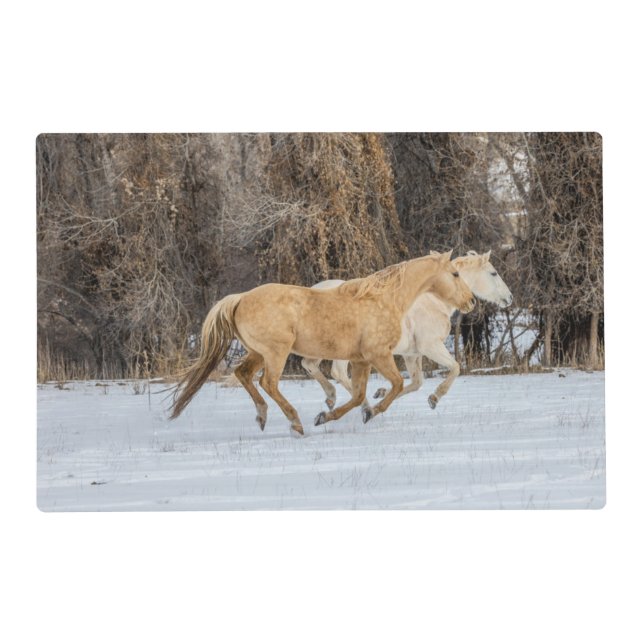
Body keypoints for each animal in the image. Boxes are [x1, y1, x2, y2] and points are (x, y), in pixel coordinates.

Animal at [170, 251, 475, 435]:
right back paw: (295, 423)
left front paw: (329, 416)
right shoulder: (378, 355)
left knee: (243, 374)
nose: (471, 301)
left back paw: (262, 417)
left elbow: (359, 395)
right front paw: (370, 413)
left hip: (257, 352)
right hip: (276, 353)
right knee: (268, 383)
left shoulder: (361, 360)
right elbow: (396, 385)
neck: (384, 300)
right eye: (455, 274)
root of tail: (240, 298)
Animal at [301, 251, 512, 413]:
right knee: (337, 372)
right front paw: (434, 398)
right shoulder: (430, 346)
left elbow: (415, 383)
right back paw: (361, 405)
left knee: (310, 365)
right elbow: (455, 368)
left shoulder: (412, 354)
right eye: (494, 273)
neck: (434, 302)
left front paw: (380, 393)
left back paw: (334, 399)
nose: (509, 298)